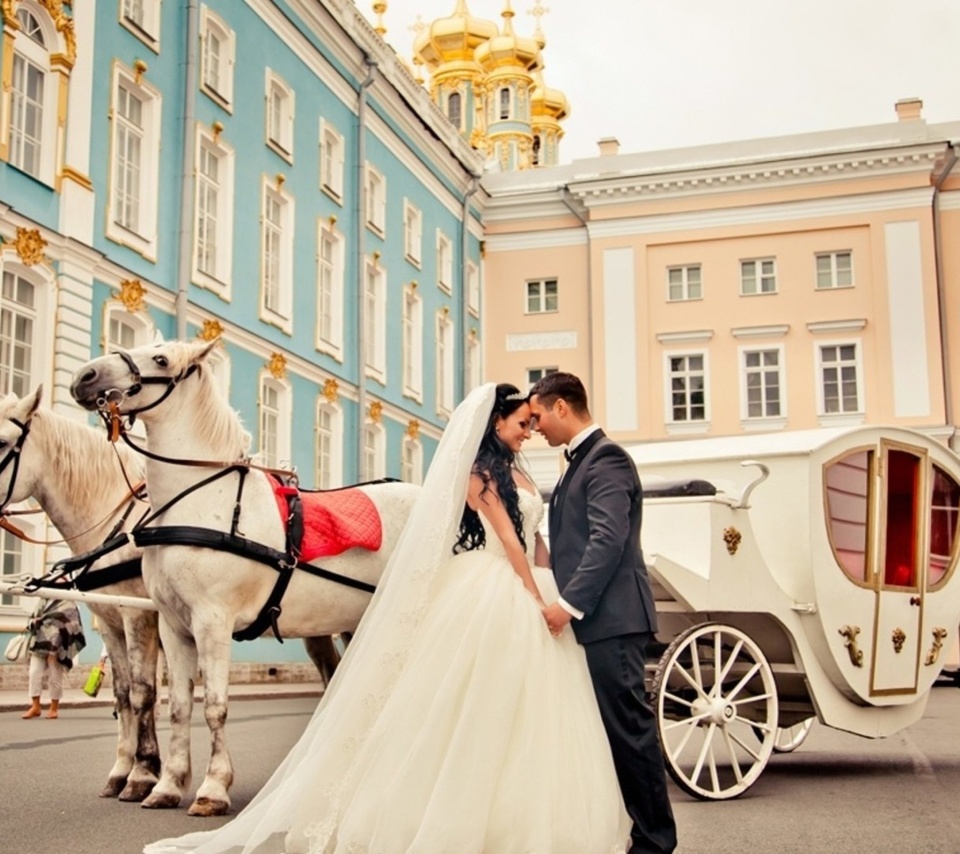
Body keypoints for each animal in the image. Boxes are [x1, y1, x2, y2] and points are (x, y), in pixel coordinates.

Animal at [0, 388, 163, 804]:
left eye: (2, 443)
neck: (121, 528)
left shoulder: (139, 618)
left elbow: (143, 693)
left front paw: (143, 773)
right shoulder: (110, 621)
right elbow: (122, 693)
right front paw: (122, 770)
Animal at [69, 340, 422, 816]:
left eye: (161, 360)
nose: (85, 376)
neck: (202, 501)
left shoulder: (212, 624)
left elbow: (215, 707)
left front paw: (213, 788)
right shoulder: (173, 627)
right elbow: (179, 706)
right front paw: (168, 784)